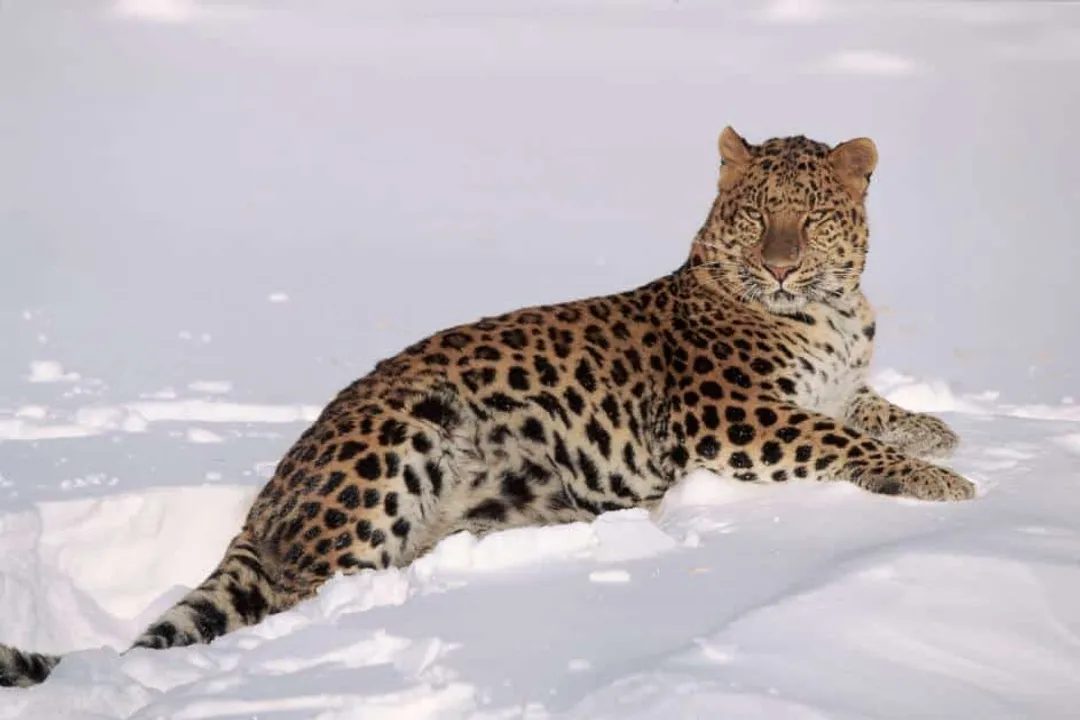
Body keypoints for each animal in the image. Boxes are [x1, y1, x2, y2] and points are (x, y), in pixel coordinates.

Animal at [0, 127, 974, 688]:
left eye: (810, 218)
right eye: (753, 215)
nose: (778, 265)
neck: (833, 311)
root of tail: (270, 493)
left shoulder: (834, 383)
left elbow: (867, 409)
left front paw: (940, 431)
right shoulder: (732, 417)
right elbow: (837, 439)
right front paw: (945, 486)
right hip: (402, 434)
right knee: (302, 597)